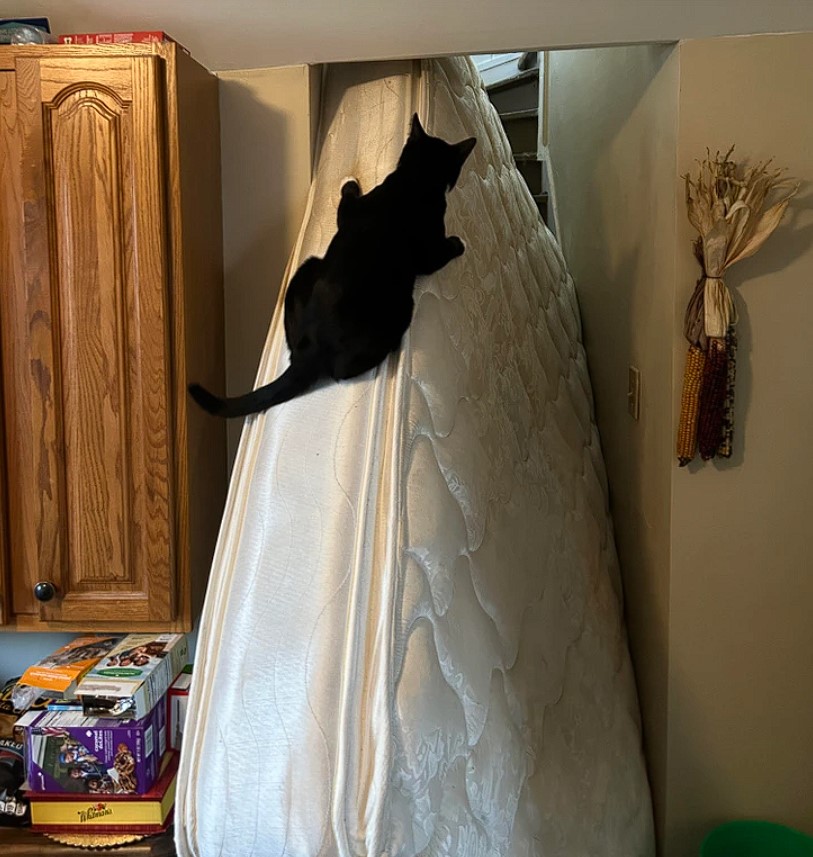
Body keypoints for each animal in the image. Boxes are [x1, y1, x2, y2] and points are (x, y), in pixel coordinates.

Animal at [189, 113, 476, 419]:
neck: (414, 179)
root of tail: (312, 349)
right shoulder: (428, 250)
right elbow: (438, 255)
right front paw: (458, 243)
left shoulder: (351, 212)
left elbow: (346, 202)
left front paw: (349, 182)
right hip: (400, 311)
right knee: (343, 371)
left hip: (307, 268)